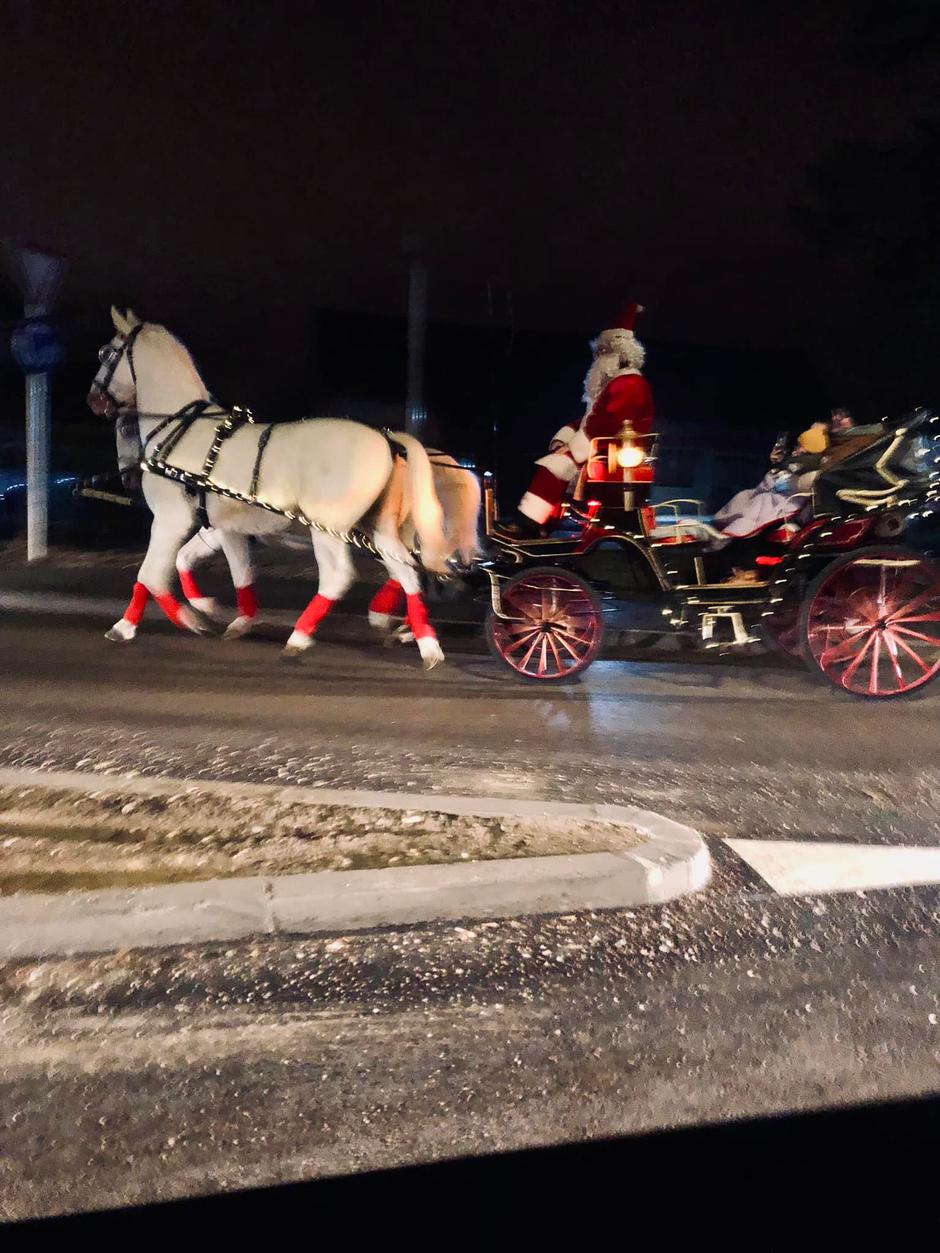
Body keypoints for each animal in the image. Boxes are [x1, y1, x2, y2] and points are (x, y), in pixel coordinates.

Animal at [87, 305, 453, 666]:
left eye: (105, 353)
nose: (93, 400)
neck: (183, 430)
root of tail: (386, 439)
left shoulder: (170, 519)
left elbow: (150, 575)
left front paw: (145, 624)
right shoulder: (225, 527)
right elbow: (233, 572)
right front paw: (229, 617)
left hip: (327, 528)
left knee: (338, 577)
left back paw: (300, 637)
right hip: (375, 528)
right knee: (406, 573)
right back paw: (426, 644)